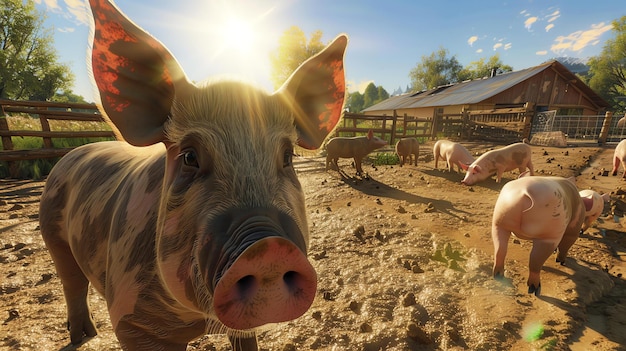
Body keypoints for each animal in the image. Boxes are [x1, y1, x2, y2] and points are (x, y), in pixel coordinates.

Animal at [39, 0, 346, 351]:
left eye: (287, 156)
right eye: (189, 156)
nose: (269, 249)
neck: (198, 320)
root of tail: (69, 156)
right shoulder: (131, 321)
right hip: (53, 235)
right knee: (72, 283)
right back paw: (84, 336)